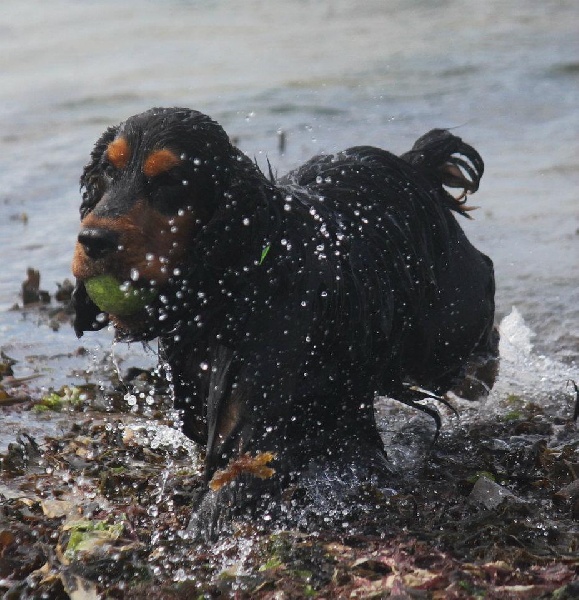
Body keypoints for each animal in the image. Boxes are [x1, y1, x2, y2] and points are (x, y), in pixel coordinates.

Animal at [72, 106, 498, 536]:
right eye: (108, 170)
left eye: (171, 180)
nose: (93, 240)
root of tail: (414, 164)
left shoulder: (258, 424)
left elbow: (229, 486)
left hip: (450, 324)